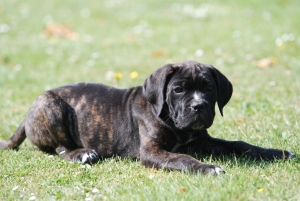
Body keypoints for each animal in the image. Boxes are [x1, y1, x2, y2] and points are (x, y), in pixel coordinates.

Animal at [0, 60, 294, 174]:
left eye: (209, 88)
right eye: (178, 90)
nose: (198, 106)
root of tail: (27, 114)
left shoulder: (204, 141)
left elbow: (239, 145)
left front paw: (276, 153)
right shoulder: (153, 151)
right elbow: (182, 158)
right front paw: (207, 168)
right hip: (51, 105)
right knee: (61, 149)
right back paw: (83, 154)